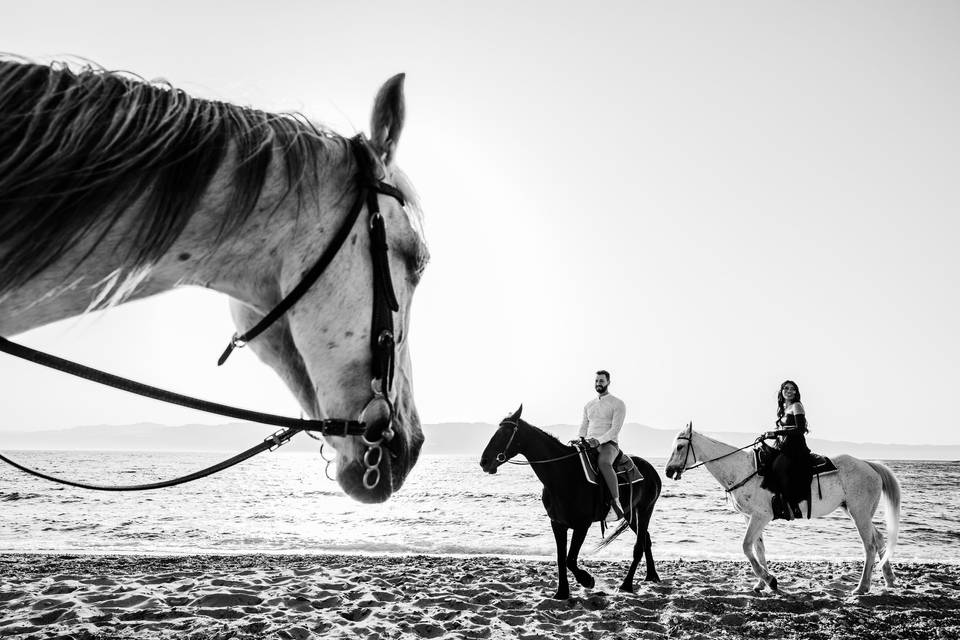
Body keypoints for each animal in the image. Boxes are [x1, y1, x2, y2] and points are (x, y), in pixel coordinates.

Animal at [480, 408, 660, 596]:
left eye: (505, 433)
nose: (484, 462)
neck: (563, 474)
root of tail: (651, 470)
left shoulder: (582, 525)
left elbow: (570, 559)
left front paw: (587, 580)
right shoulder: (557, 523)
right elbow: (561, 558)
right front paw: (562, 593)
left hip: (645, 509)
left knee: (639, 546)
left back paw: (626, 584)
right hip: (630, 514)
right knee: (646, 539)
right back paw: (652, 576)